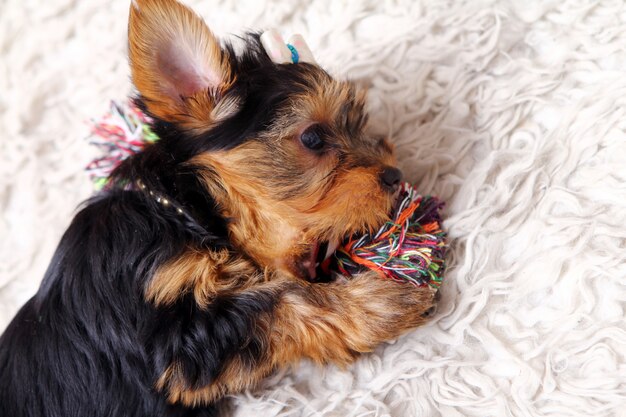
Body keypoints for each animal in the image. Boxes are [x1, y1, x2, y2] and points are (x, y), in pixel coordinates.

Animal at [0, 0, 436, 416]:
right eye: (313, 138)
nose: (394, 175)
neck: (184, 216)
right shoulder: (170, 339)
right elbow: (282, 300)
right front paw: (385, 302)